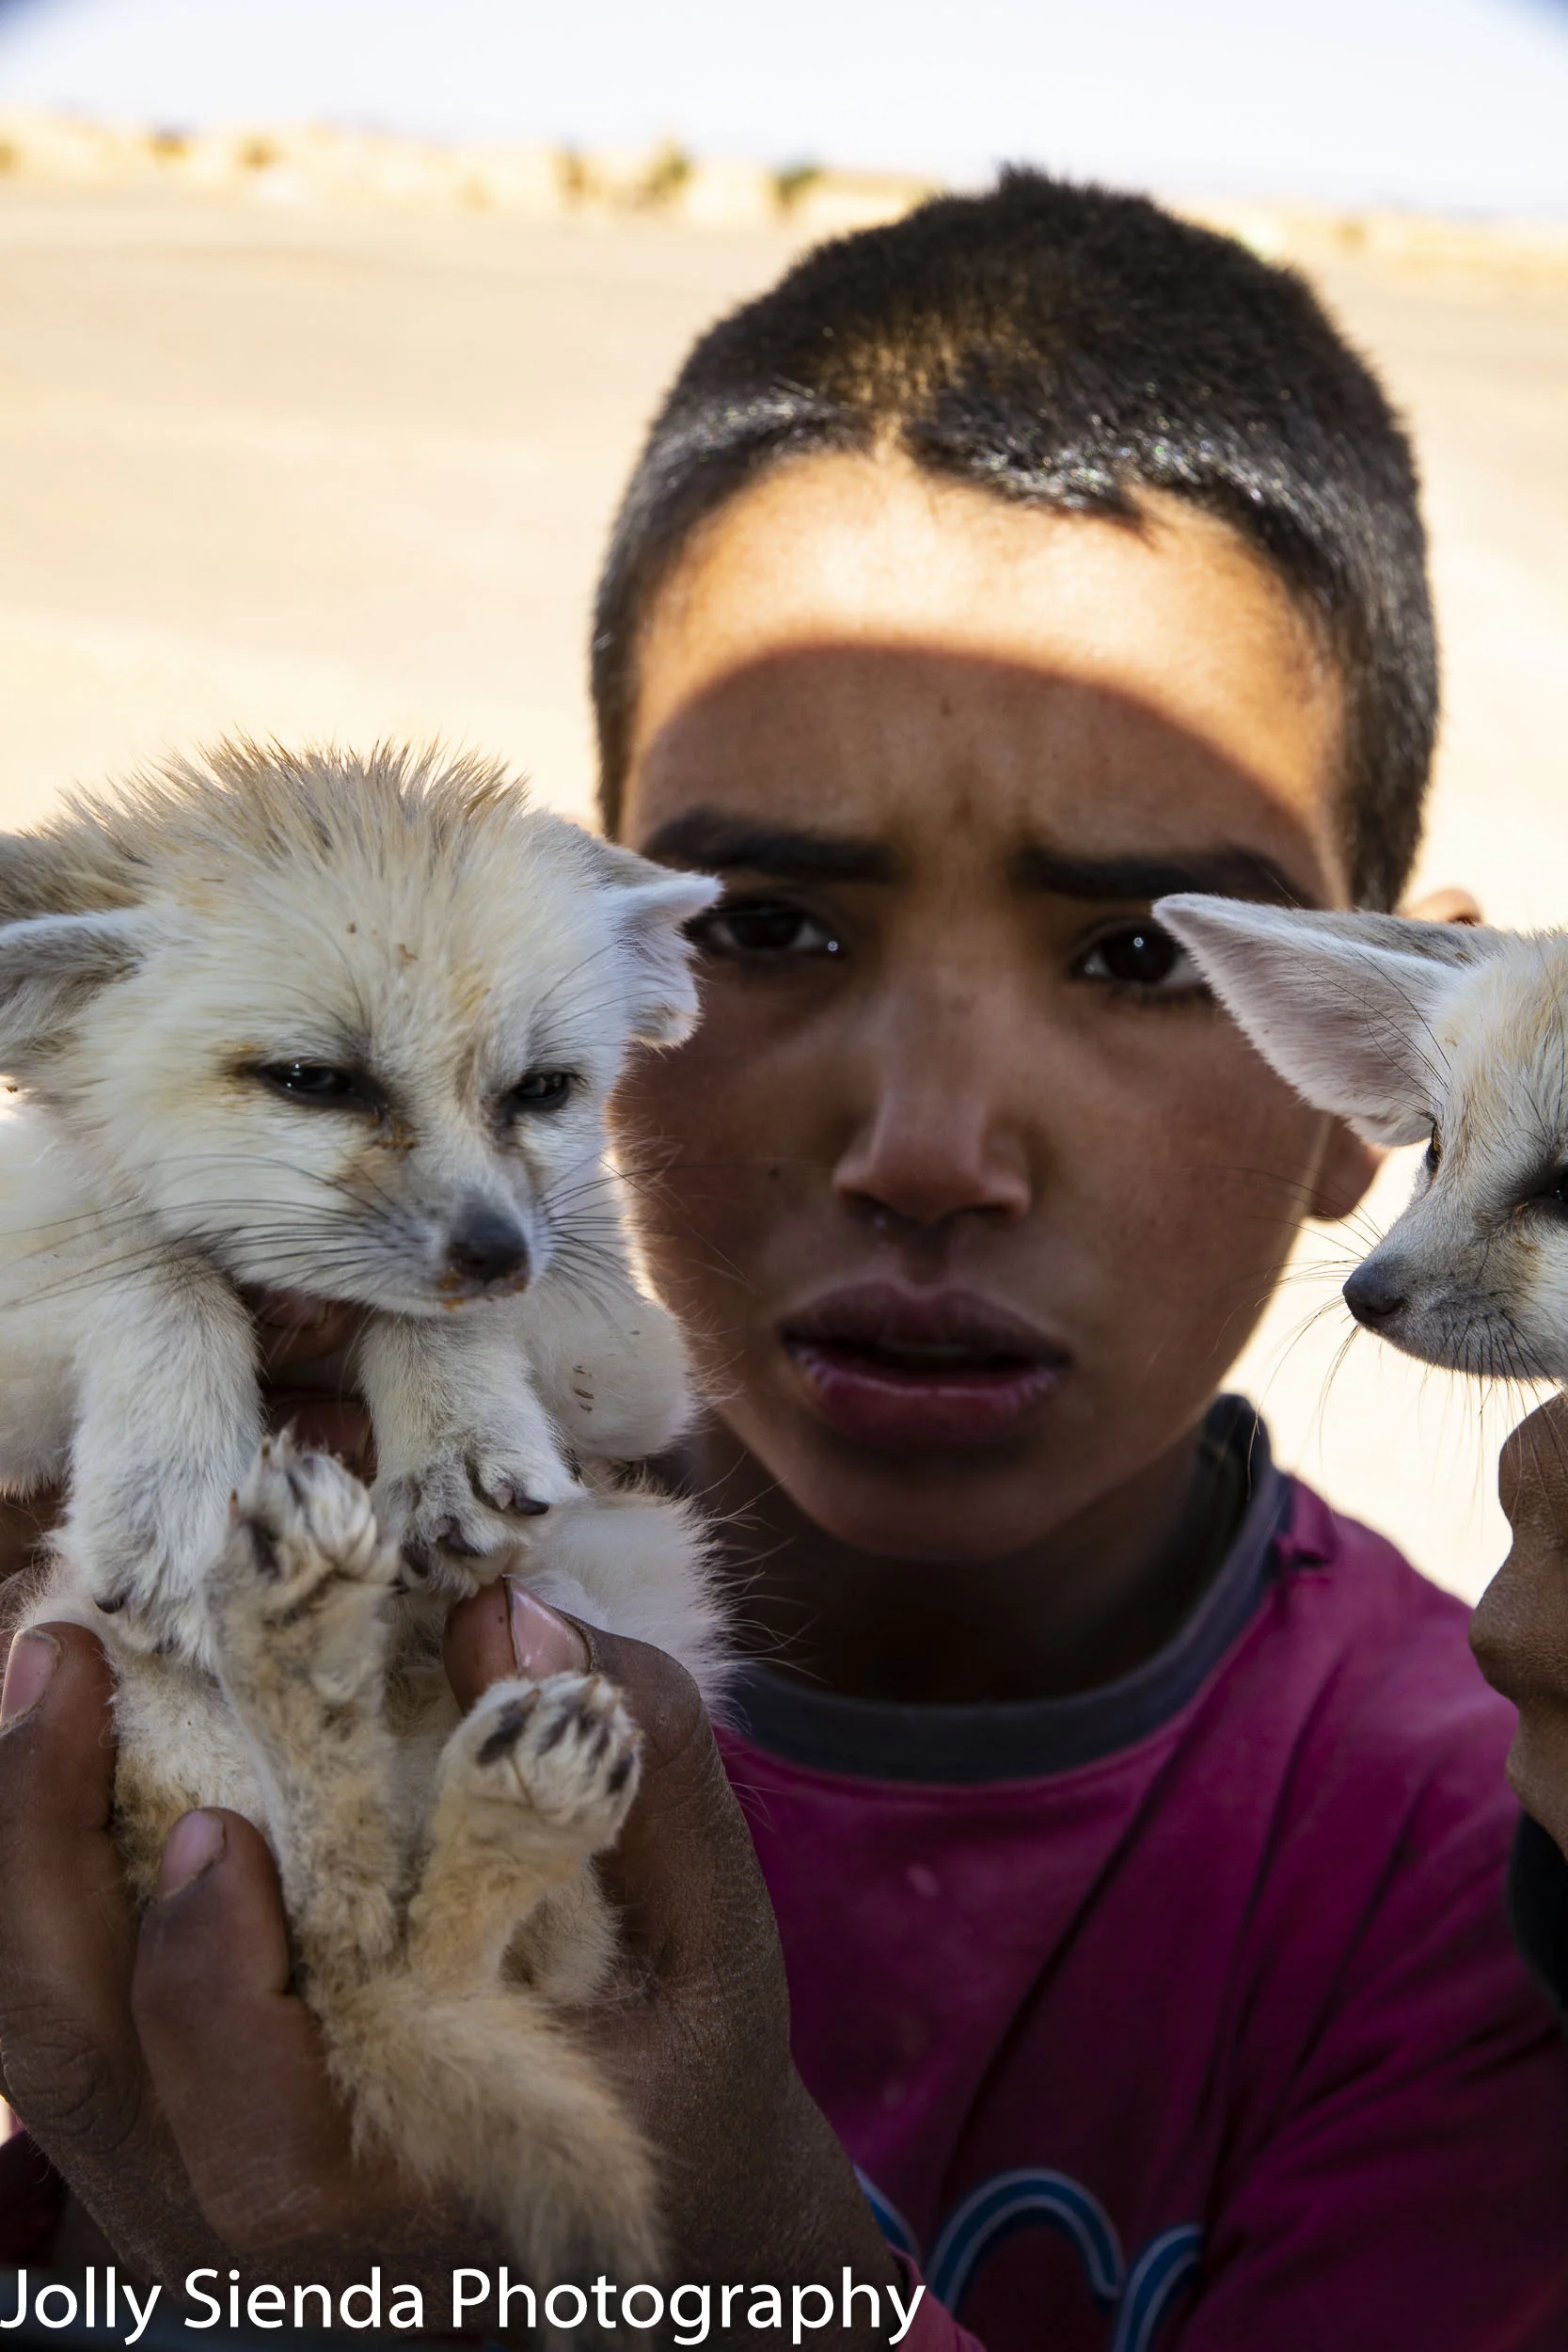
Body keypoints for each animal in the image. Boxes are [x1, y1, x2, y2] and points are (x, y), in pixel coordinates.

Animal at [0, 738, 727, 2295]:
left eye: (543, 1090)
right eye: (312, 1082)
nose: (495, 1250)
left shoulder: (633, 1355)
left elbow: (430, 1322)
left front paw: (453, 1439)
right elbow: (153, 1256)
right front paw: (172, 1481)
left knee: (472, 1953)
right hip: (153, 1732)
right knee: (355, 1922)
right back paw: (303, 1626)